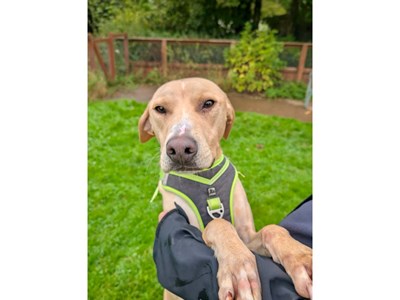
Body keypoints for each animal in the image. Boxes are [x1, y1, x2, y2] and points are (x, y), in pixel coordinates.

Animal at [138, 78, 312, 300]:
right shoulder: (192, 230)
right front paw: (239, 265)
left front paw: (301, 257)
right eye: (160, 109)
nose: (179, 149)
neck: (207, 182)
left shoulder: (247, 236)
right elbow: (218, 224)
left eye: (208, 103)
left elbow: (272, 229)